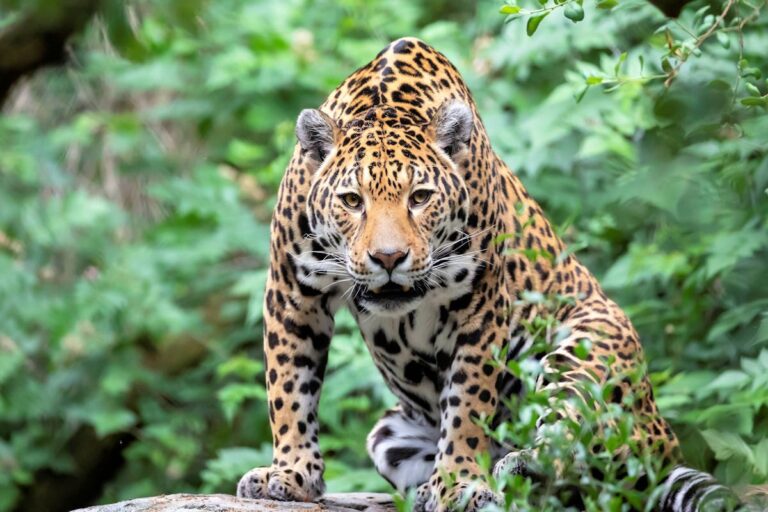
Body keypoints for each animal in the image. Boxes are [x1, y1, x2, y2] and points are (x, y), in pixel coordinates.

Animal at [235, 37, 738, 511]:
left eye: (420, 197)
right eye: (352, 200)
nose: (389, 258)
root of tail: (660, 441)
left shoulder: (479, 305)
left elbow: (468, 404)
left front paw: (458, 480)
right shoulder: (292, 295)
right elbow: (288, 391)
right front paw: (292, 473)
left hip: (587, 349)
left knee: (576, 463)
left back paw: (517, 468)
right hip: (388, 435)